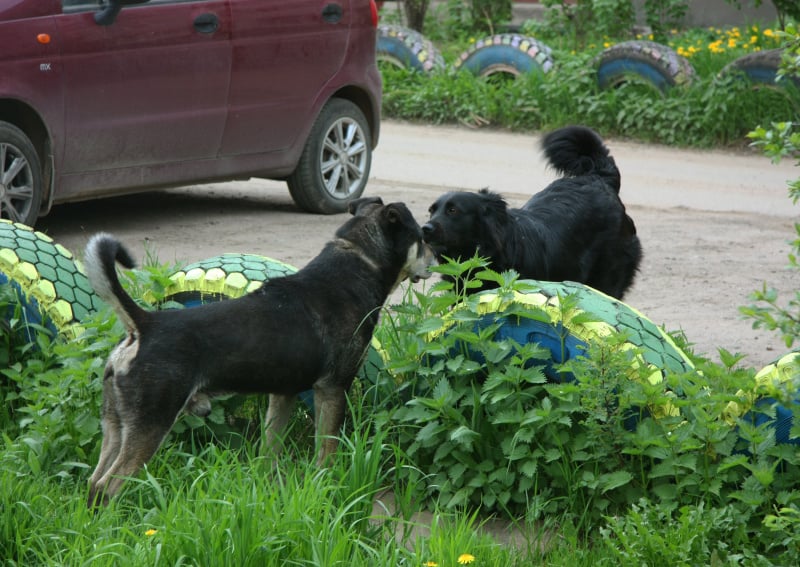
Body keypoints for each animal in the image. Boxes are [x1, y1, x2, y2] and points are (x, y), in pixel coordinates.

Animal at [84, 196, 434, 506]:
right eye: (421, 237)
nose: (436, 257)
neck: (360, 260)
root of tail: (144, 325)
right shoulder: (333, 389)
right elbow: (326, 451)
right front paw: (326, 487)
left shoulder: (283, 394)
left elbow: (270, 449)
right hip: (151, 423)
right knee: (107, 485)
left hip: (115, 424)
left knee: (93, 480)